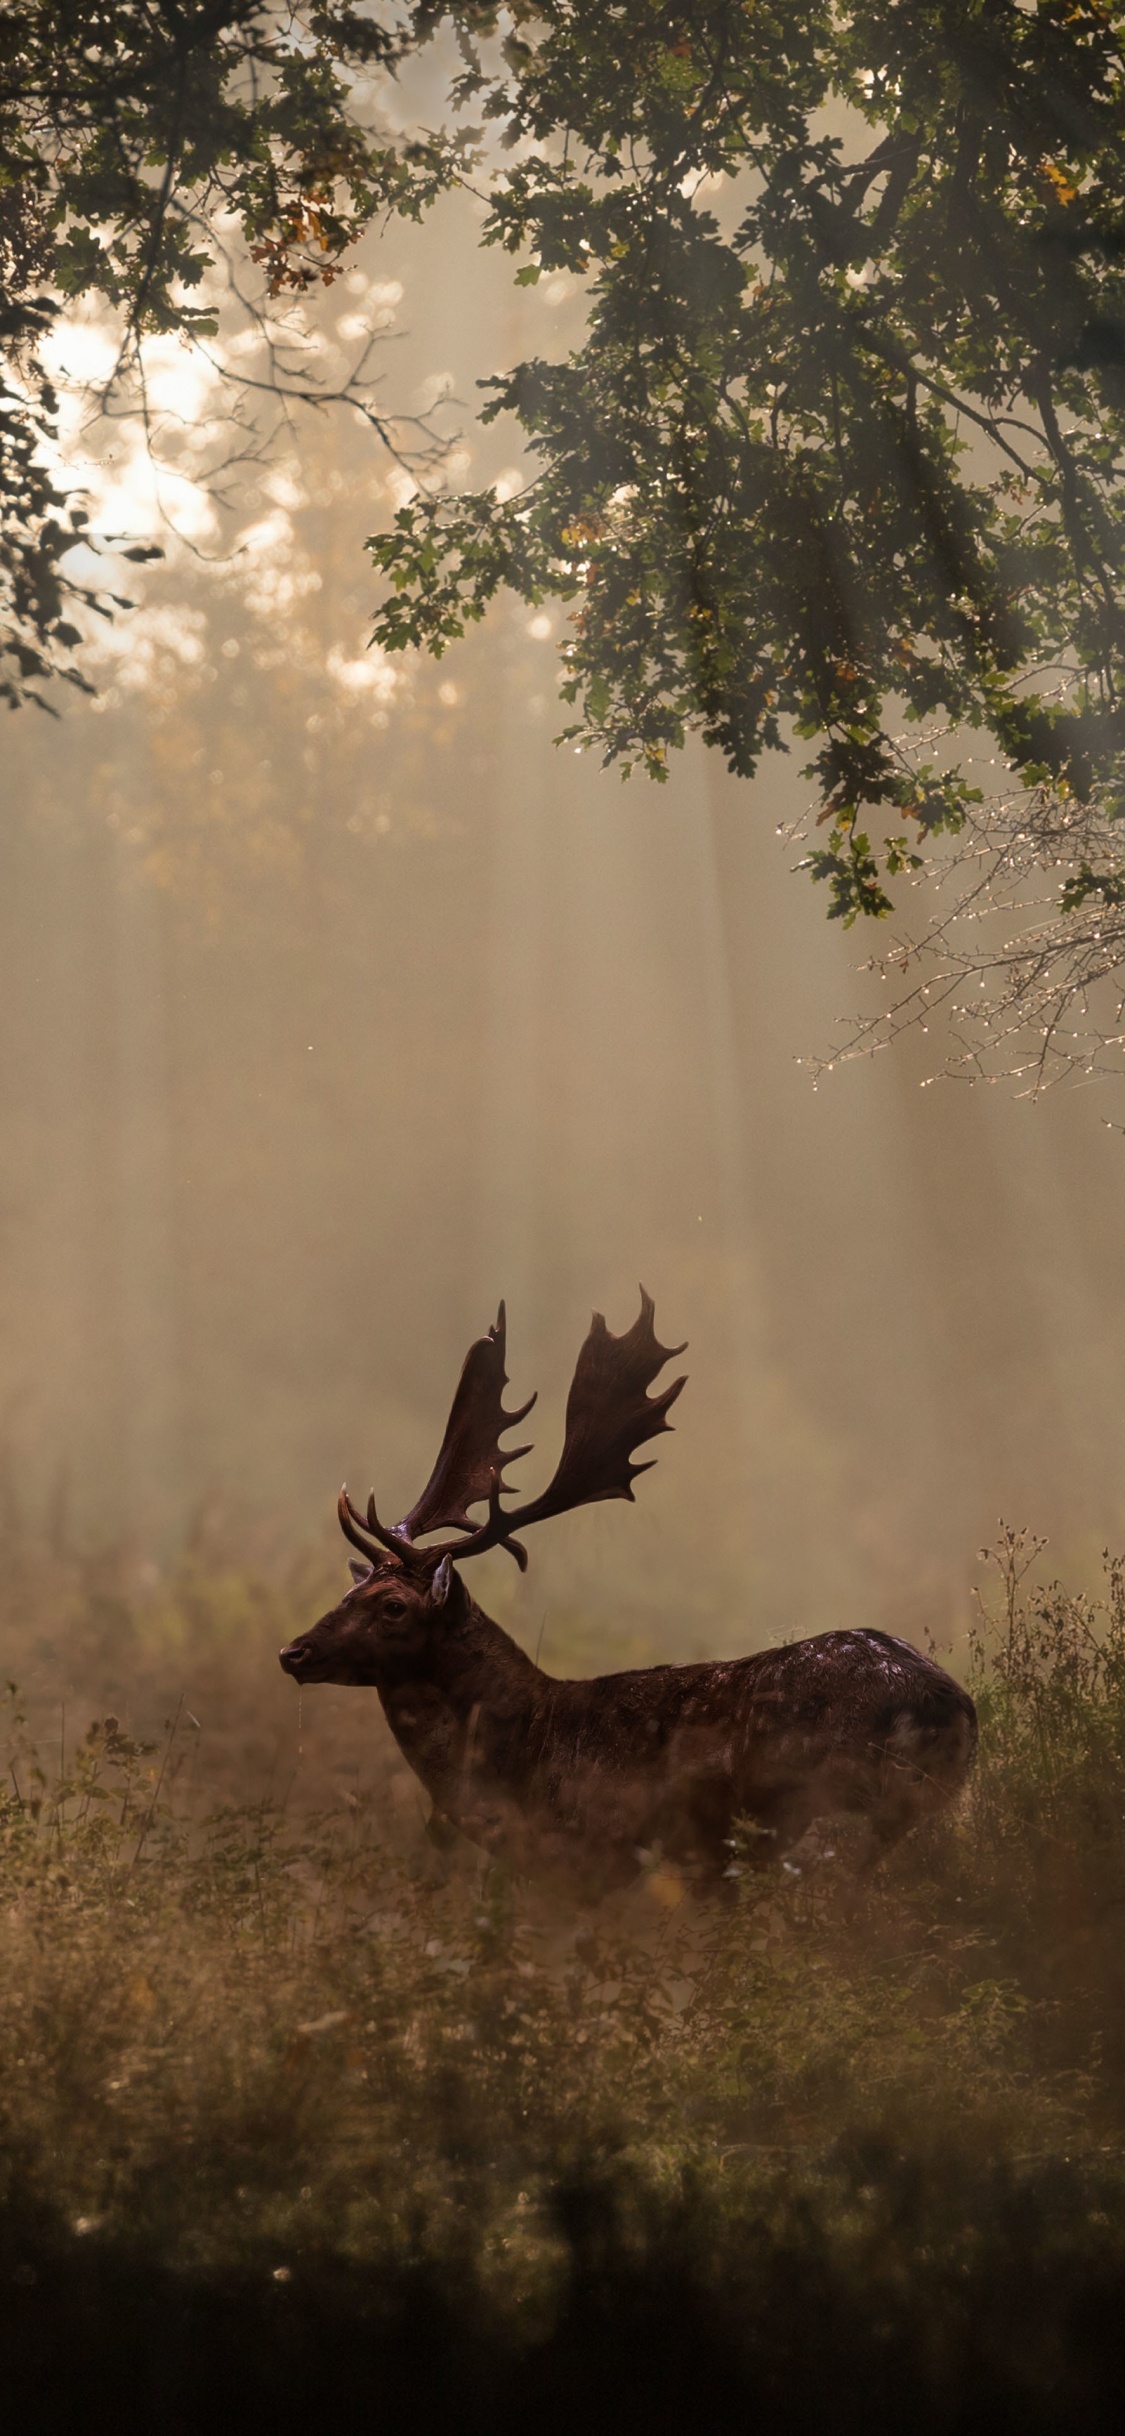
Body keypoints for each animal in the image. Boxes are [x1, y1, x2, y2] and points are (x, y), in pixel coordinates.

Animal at [278, 1295, 974, 1900]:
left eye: (393, 1605)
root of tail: (953, 1706)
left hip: (826, 1810)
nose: (293, 1652)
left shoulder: (598, 1859)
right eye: (350, 1588)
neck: (524, 1758)